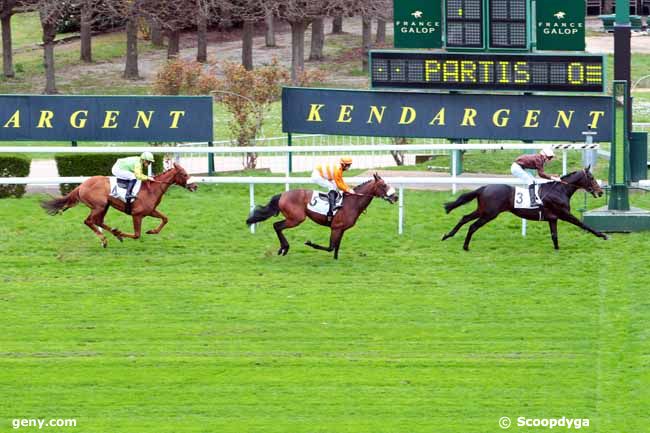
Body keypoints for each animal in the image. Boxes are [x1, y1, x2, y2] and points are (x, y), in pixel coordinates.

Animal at [40, 163, 196, 246]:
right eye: (184, 174)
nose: (194, 186)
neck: (151, 189)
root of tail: (82, 185)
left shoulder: (150, 211)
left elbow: (165, 219)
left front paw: (152, 231)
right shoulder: (136, 214)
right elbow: (137, 234)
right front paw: (121, 232)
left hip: (104, 206)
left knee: (98, 221)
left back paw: (113, 234)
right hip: (99, 206)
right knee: (89, 221)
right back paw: (106, 238)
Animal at [246, 173, 398, 260]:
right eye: (383, 185)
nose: (395, 197)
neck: (352, 202)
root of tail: (282, 195)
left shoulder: (341, 229)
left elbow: (336, 246)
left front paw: (336, 259)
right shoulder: (335, 228)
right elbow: (331, 247)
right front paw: (310, 243)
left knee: (277, 226)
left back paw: (283, 248)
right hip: (296, 219)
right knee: (277, 226)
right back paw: (284, 247)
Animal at [440, 167, 608, 251]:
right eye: (591, 178)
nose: (600, 192)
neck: (559, 190)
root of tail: (484, 187)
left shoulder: (552, 218)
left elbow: (554, 236)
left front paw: (557, 249)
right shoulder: (564, 214)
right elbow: (583, 224)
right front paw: (602, 235)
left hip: (482, 210)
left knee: (464, 218)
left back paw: (448, 235)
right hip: (489, 214)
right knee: (472, 226)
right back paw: (465, 246)